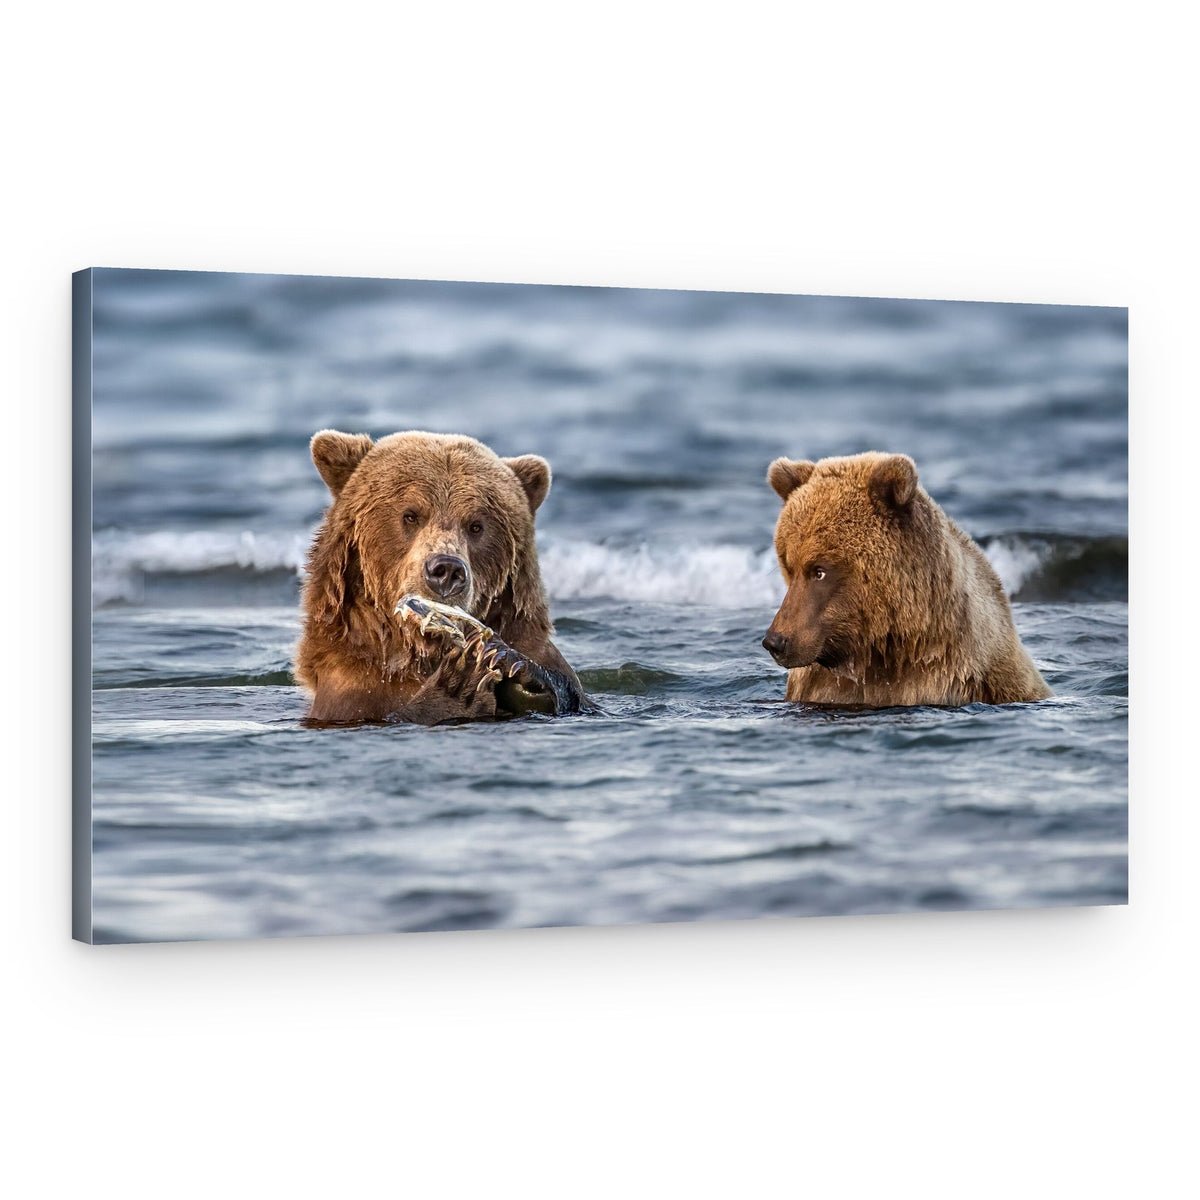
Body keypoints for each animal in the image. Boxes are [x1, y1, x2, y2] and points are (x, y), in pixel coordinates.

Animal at [294, 429, 587, 724]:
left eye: (476, 526)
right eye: (410, 515)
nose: (446, 570)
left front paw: (514, 665)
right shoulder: (352, 689)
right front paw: (458, 682)